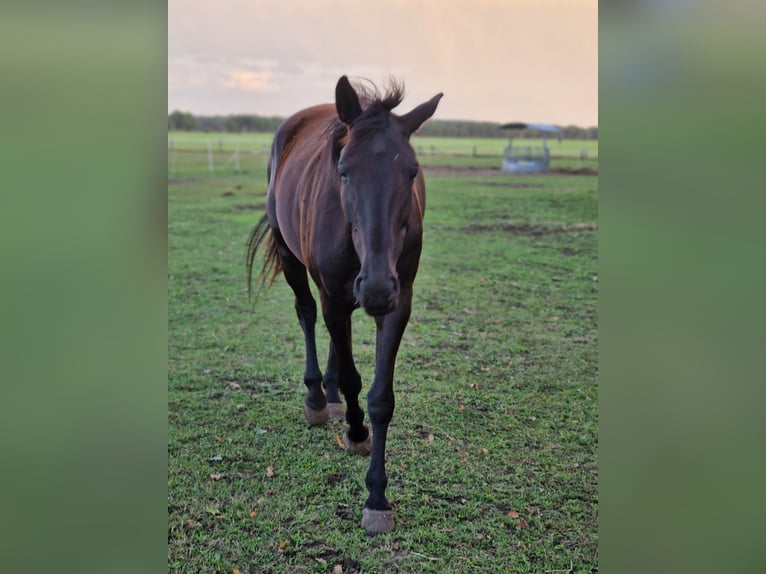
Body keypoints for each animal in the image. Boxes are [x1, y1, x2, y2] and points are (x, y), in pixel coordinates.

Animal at [247, 76, 442, 533]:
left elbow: (380, 397)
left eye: (412, 171)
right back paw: (318, 399)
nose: (376, 286)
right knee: (307, 315)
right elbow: (355, 378)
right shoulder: (335, 294)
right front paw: (355, 433)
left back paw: (331, 396)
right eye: (344, 170)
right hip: (292, 259)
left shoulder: (399, 301)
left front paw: (377, 497)